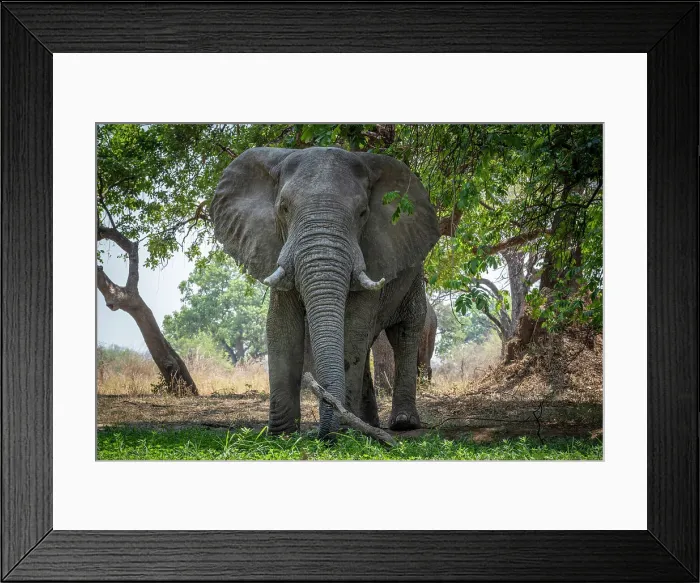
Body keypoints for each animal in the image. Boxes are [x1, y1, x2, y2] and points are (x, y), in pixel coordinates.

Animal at [210, 146, 440, 437]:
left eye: (363, 213)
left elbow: (351, 327)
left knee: (404, 333)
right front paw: (281, 434)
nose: (322, 434)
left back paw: (401, 423)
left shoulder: (374, 252)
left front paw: (343, 431)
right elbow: (281, 327)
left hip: (414, 277)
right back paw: (368, 424)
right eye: (283, 208)